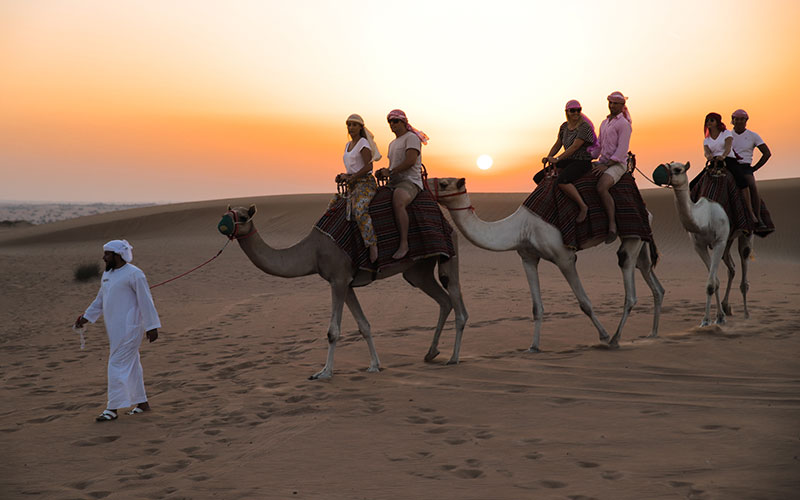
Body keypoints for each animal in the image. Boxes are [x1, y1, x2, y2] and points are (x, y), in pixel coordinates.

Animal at [217, 203, 468, 378]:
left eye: (243, 216)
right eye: (229, 212)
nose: (223, 224)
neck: (313, 251)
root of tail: (449, 224)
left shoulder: (338, 279)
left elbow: (333, 332)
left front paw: (324, 372)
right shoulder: (346, 282)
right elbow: (364, 325)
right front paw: (374, 365)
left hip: (448, 255)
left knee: (457, 301)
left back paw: (454, 358)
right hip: (417, 272)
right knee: (444, 300)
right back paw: (431, 352)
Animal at [424, 178, 664, 350]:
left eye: (444, 183)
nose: (425, 182)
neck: (520, 228)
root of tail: (648, 210)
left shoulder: (564, 257)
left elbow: (584, 303)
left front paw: (603, 335)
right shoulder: (528, 257)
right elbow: (536, 307)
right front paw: (533, 346)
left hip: (631, 236)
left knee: (629, 281)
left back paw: (615, 339)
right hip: (641, 240)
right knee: (653, 280)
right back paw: (653, 333)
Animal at [652, 160, 752, 324]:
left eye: (677, 169)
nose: (657, 171)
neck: (705, 219)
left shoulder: (719, 242)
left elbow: (711, 284)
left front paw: (707, 320)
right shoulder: (699, 246)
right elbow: (715, 281)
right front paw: (717, 317)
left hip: (745, 233)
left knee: (744, 259)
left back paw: (746, 314)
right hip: (728, 241)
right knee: (731, 267)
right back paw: (726, 306)